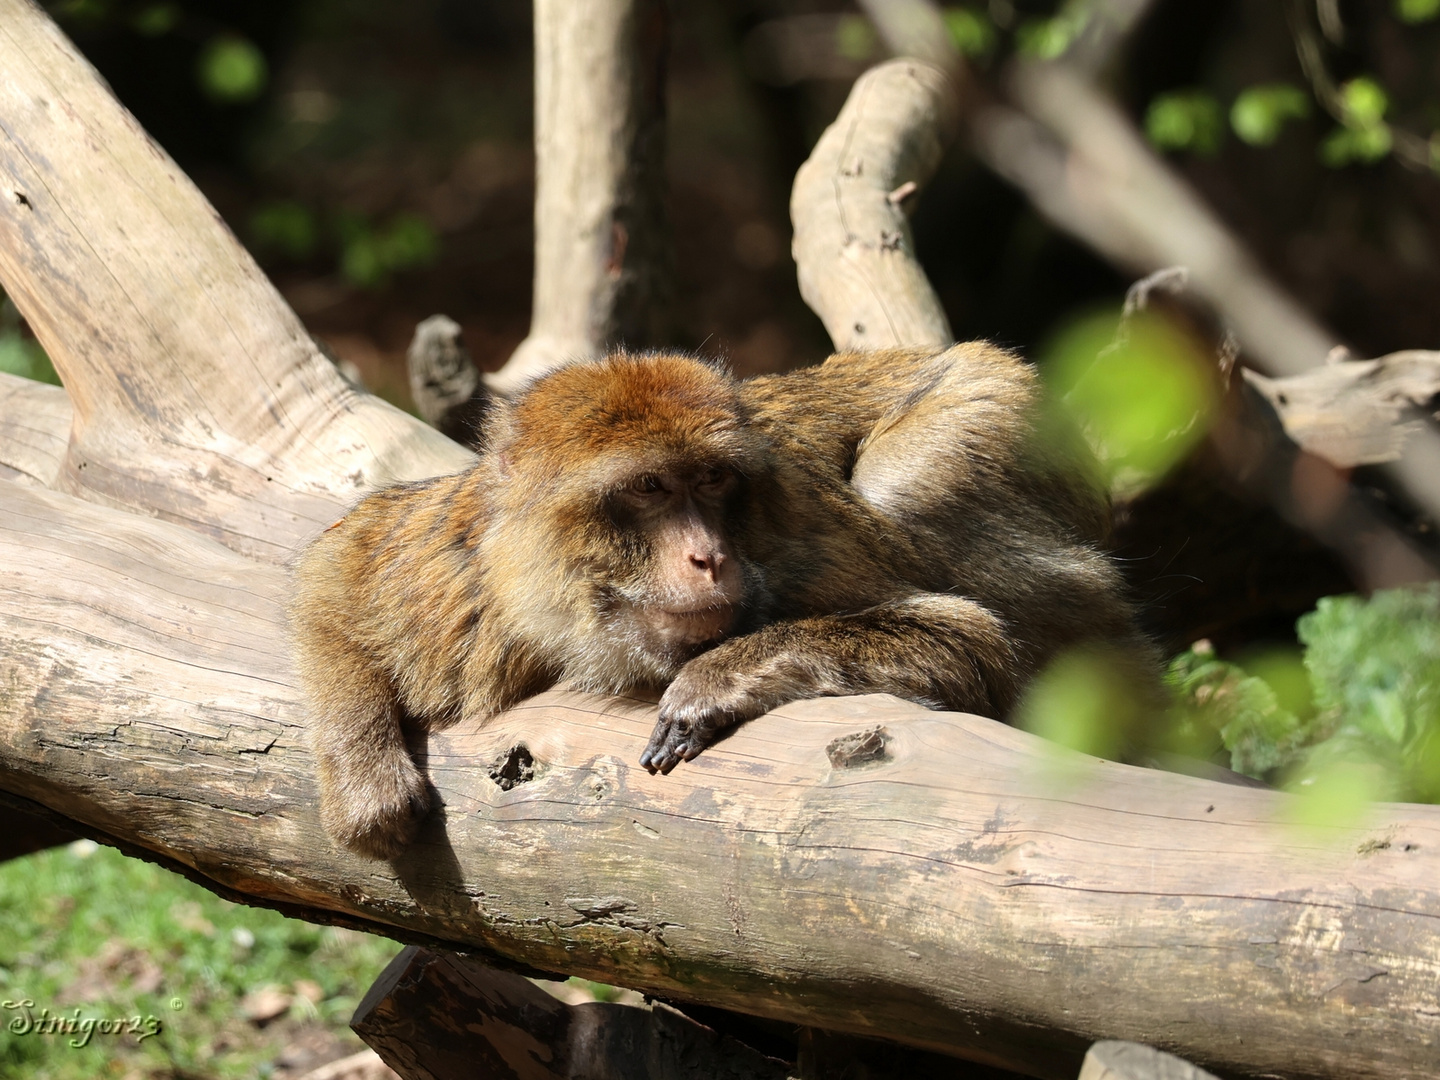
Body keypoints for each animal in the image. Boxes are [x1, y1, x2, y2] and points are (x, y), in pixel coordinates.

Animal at [292, 347, 1157, 864]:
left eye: (712, 481)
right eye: (648, 488)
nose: (708, 557)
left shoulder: (811, 549)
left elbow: (973, 644)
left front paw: (718, 679)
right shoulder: (465, 573)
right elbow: (338, 563)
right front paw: (364, 775)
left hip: (995, 414)